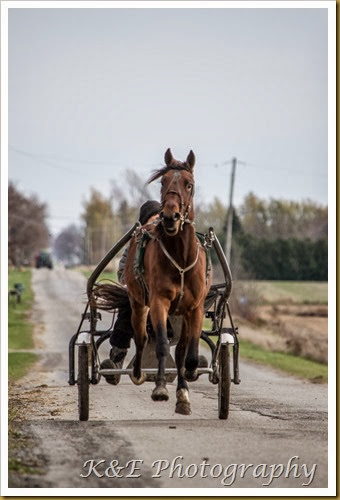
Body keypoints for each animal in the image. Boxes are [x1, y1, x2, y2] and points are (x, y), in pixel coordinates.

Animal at [123, 148, 211, 414]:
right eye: (163, 182)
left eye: (189, 184)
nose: (171, 217)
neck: (181, 258)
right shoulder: (159, 302)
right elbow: (161, 344)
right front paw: (160, 388)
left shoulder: (195, 307)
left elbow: (188, 353)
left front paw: (185, 389)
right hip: (138, 303)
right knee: (141, 337)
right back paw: (139, 373)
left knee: (181, 350)